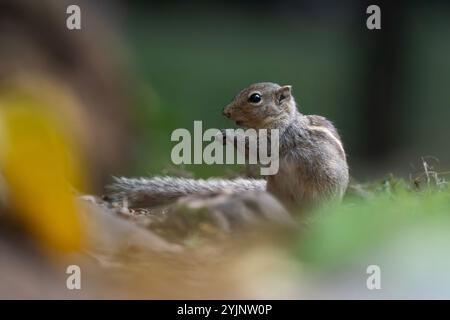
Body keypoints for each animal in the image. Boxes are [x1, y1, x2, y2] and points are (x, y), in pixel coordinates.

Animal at [107, 82, 350, 210]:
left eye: (255, 98)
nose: (225, 112)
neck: (281, 119)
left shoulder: (279, 138)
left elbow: (261, 148)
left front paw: (224, 134)